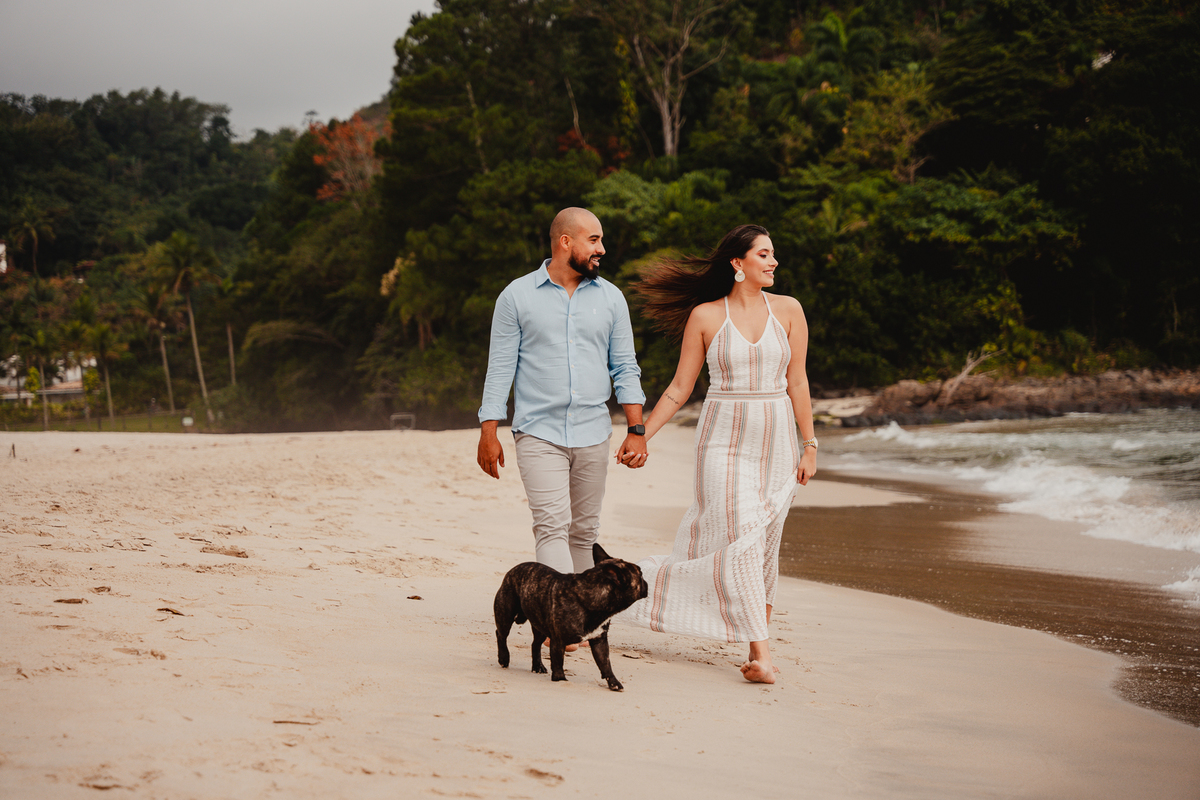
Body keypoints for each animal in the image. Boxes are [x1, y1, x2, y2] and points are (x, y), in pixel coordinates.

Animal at [494, 542, 648, 691]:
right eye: (640, 573)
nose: (646, 582)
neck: (591, 597)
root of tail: (513, 570)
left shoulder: (599, 641)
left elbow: (605, 663)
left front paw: (614, 683)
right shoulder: (558, 641)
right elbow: (558, 663)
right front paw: (560, 680)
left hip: (540, 625)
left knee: (535, 644)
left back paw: (537, 666)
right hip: (505, 615)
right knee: (501, 635)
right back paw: (504, 658)